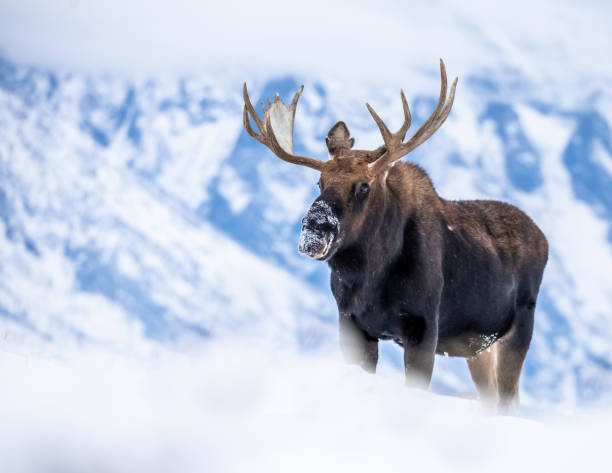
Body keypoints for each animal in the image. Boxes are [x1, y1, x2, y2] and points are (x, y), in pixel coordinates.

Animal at [241, 60, 548, 412]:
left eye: (363, 186)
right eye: (319, 182)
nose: (314, 229)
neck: (369, 278)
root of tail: (544, 239)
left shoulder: (423, 327)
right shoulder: (351, 323)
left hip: (519, 328)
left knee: (509, 399)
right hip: (477, 348)